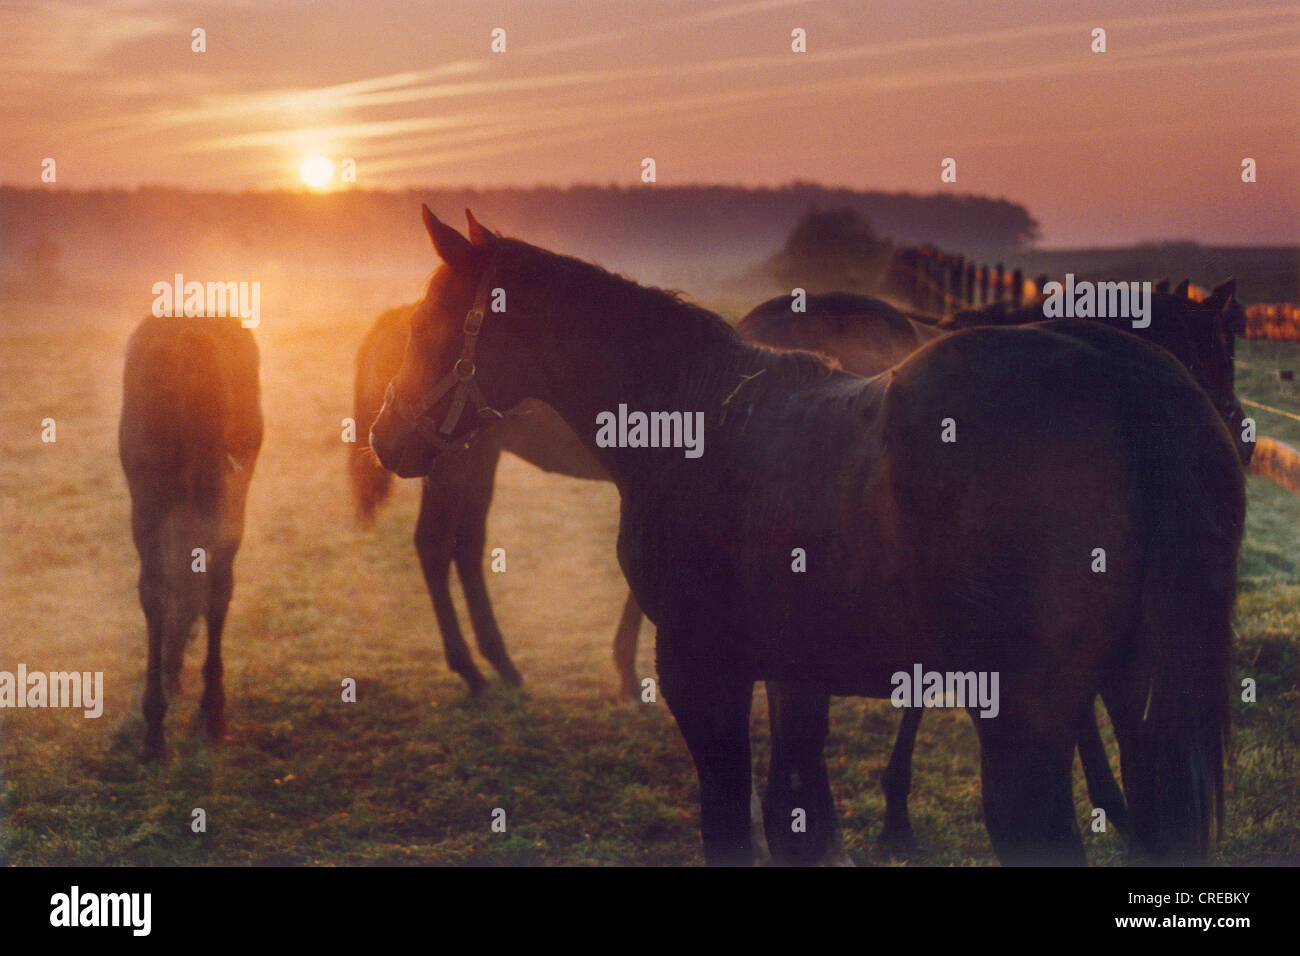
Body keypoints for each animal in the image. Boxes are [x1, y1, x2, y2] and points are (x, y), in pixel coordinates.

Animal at [119, 314, 263, 764]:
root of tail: (190, 334)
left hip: (150, 493)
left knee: (157, 589)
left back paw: (155, 728)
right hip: (229, 491)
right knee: (215, 586)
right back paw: (208, 711)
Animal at [351, 304, 644, 697]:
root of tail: (402, 312)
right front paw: (628, 671)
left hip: (480, 456)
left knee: (466, 545)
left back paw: (501, 662)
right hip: (451, 462)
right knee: (434, 544)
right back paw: (470, 669)